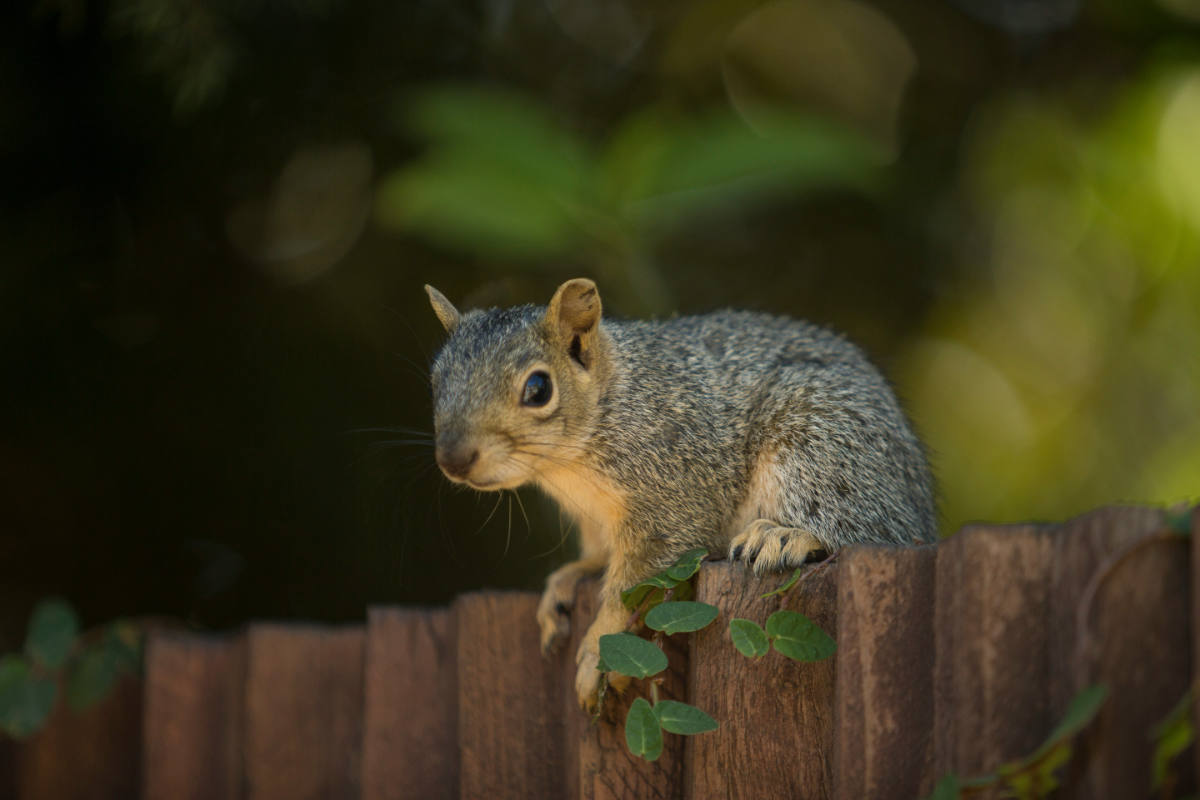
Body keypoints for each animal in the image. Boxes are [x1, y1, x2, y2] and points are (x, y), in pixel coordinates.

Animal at [424, 278, 936, 711]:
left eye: (538, 388)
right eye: (435, 382)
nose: (453, 458)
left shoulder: (675, 492)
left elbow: (632, 585)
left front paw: (596, 654)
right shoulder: (595, 519)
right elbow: (599, 560)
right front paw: (569, 578)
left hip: (821, 444)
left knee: (870, 528)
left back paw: (786, 535)